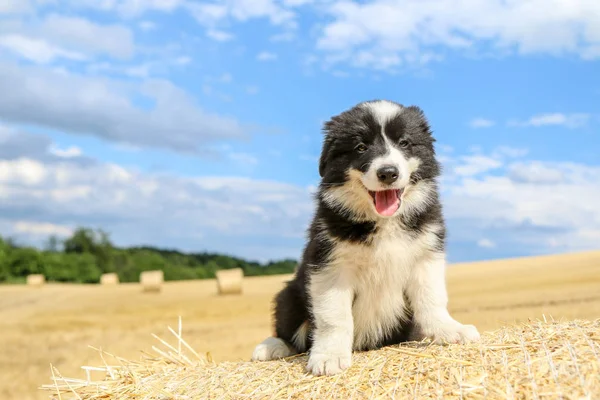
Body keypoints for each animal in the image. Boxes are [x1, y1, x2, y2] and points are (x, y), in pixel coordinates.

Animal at [251, 99, 480, 376]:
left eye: (404, 143)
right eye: (361, 147)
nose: (388, 173)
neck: (384, 221)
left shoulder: (426, 255)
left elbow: (432, 298)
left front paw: (450, 330)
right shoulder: (330, 265)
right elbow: (334, 317)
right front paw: (329, 357)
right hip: (289, 294)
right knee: (289, 330)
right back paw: (271, 347)